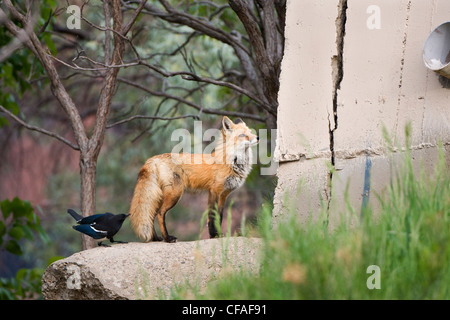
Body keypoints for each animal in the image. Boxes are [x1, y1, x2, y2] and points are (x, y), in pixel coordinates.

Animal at [128, 117, 258, 242]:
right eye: (243, 135)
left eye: (250, 132)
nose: (258, 137)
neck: (231, 162)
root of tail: (153, 159)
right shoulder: (214, 191)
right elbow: (212, 216)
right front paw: (214, 235)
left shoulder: (224, 195)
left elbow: (219, 217)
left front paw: (219, 235)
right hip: (175, 194)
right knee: (160, 213)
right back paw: (167, 238)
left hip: (160, 196)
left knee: (151, 215)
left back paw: (155, 238)